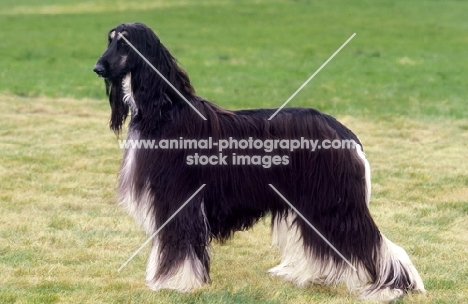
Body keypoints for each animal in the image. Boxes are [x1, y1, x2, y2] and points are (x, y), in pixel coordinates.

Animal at [93, 22, 426, 300]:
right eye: (109, 41)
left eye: (124, 43)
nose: (97, 67)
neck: (164, 110)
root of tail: (344, 131)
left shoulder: (178, 198)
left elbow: (178, 246)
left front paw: (175, 283)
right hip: (312, 199)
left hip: (334, 201)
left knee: (372, 242)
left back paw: (392, 287)